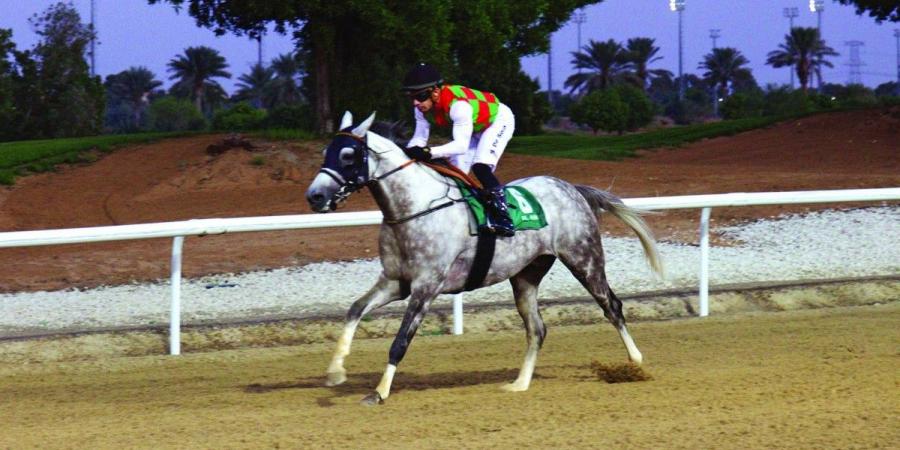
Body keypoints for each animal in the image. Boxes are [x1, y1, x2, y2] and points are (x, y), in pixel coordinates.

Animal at [306, 111, 664, 404]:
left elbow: (400, 341)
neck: (414, 209)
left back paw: (635, 363)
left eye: (348, 155)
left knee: (612, 306)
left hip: (584, 258)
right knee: (537, 328)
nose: (315, 196)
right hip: (526, 274)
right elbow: (354, 310)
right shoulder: (396, 282)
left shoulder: (426, 286)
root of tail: (570, 187)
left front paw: (379, 392)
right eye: (326, 152)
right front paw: (336, 372)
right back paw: (519, 384)